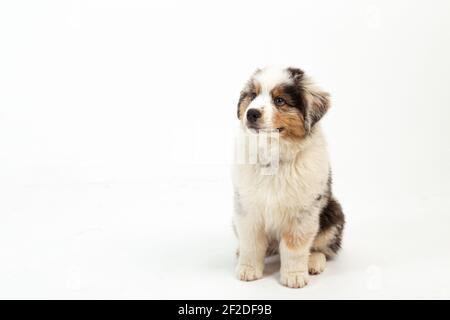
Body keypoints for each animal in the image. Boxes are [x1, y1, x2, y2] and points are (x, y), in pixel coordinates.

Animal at [232, 66, 344, 288]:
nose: (251, 113)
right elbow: (251, 243)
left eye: (280, 101)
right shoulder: (247, 208)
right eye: (253, 95)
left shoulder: (302, 213)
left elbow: (295, 247)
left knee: (322, 248)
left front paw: (294, 276)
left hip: (333, 214)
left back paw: (314, 261)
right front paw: (248, 269)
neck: (274, 154)